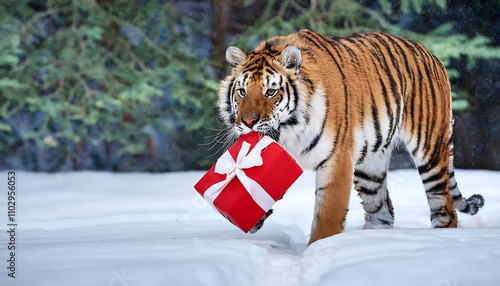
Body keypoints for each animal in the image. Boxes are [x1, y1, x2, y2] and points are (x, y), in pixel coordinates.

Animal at [216, 29, 484, 245]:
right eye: (242, 92)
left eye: (271, 92)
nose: (248, 122)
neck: (289, 130)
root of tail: (432, 55)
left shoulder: (336, 158)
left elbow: (327, 215)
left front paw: (318, 249)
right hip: (370, 166)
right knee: (382, 211)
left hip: (430, 149)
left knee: (445, 206)